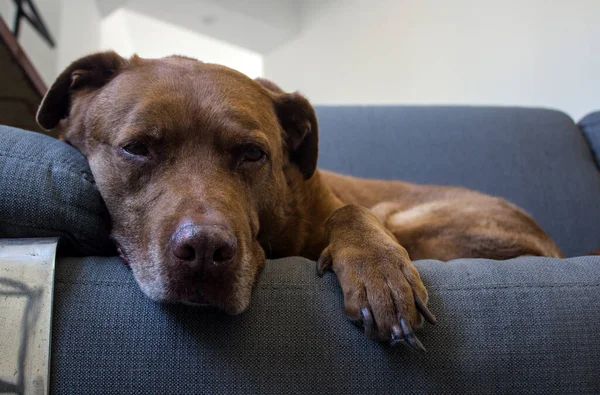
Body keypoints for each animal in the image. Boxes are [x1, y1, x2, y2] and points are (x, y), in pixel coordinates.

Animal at [37, 52, 564, 352]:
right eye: (137, 148)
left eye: (252, 154)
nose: (205, 251)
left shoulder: (340, 204)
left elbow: (351, 210)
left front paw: (380, 271)